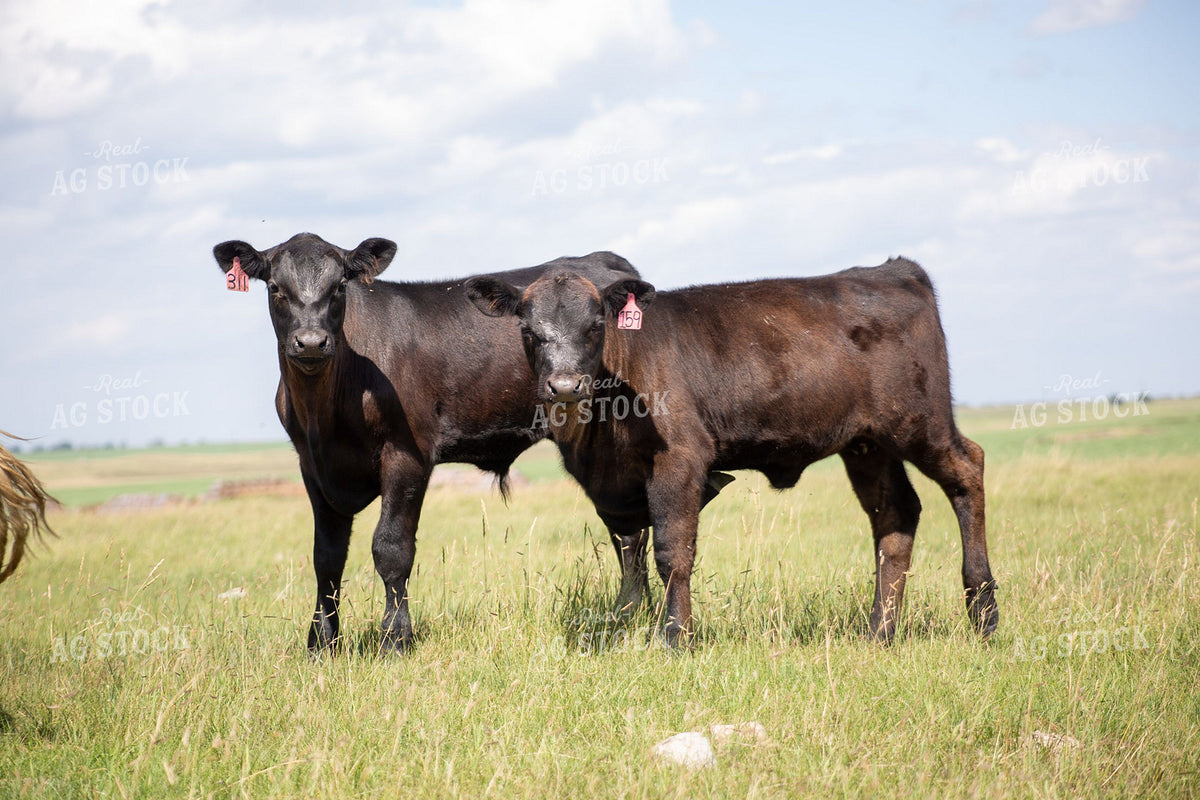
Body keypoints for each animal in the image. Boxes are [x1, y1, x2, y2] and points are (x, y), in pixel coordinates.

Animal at [211, 233, 639, 655]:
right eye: (275, 288)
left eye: (339, 287)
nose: (312, 342)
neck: (326, 415)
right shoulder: (313, 467)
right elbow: (327, 558)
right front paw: (322, 642)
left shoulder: (407, 455)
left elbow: (391, 548)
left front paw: (395, 638)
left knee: (627, 529)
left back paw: (629, 613)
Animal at [465, 258, 998, 646]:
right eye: (528, 331)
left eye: (597, 325)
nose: (564, 385)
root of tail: (892, 269)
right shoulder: (612, 489)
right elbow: (630, 555)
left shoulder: (680, 458)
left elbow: (671, 552)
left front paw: (677, 639)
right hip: (867, 443)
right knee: (895, 518)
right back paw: (879, 632)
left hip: (920, 421)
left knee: (968, 468)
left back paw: (983, 611)